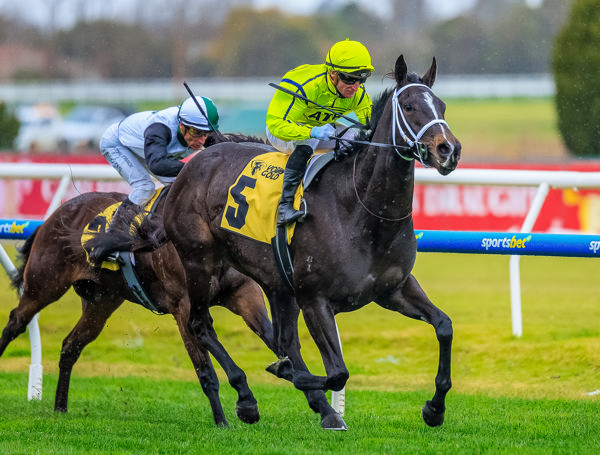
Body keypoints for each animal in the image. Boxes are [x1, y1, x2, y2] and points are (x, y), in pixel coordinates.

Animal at [0, 191, 274, 428]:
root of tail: (53, 217)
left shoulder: (244, 292)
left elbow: (269, 333)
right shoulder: (183, 307)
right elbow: (205, 370)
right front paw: (227, 418)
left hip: (101, 303)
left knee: (71, 345)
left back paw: (60, 407)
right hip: (43, 285)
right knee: (15, 322)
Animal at [158, 54, 460, 432]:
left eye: (442, 106)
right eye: (408, 106)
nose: (448, 150)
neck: (362, 211)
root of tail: (198, 159)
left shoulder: (394, 289)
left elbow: (444, 326)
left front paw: (434, 408)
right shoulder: (315, 299)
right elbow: (338, 372)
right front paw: (288, 375)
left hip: (275, 282)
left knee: (284, 339)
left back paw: (317, 406)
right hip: (199, 262)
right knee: (201, 324)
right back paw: (248, 399)